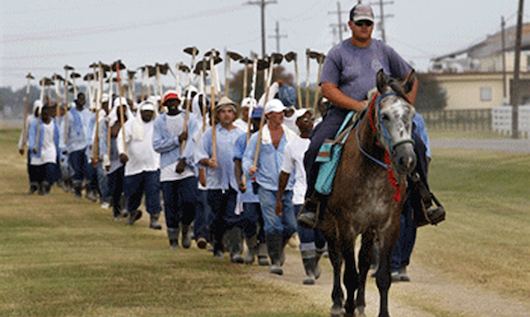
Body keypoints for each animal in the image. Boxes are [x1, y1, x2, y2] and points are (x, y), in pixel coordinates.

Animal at [318, 69, 416, 316]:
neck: (371, 171)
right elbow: (349, 276)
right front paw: (347, 308)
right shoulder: (347, 226)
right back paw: (337, 303)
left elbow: (381, 277)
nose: (407, 159)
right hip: (329, 224)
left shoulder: (387, 226)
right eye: (385, 116)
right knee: (336, 260)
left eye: (411, 115)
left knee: (363, 262)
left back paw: (360, 304)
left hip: (368, 230)